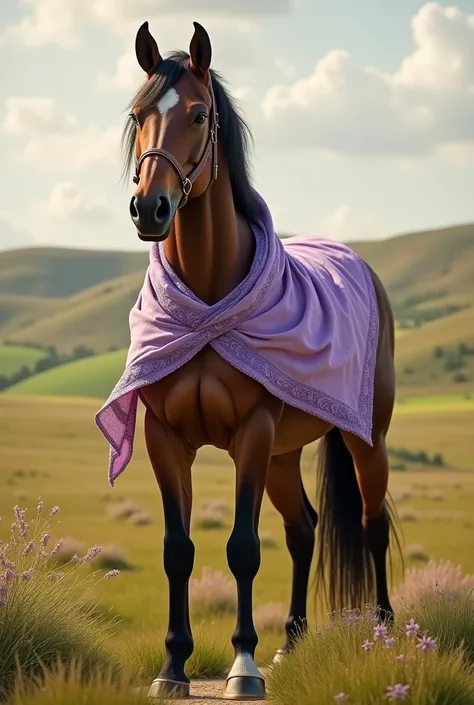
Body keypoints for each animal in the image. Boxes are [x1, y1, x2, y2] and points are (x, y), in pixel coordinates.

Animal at [121, 20, 400, 700]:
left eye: (199, 115)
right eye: (138, 114)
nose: (150, 208)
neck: (209, 304)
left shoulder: (251, 433)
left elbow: (243, 548)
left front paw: (242, 667)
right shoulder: (165, 438)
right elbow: (178, 548)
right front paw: (173, 666)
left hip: (365, 438)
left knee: (372, 523)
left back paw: (385, 631)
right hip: (284, 452)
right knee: (303, 529)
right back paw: (291, 642)